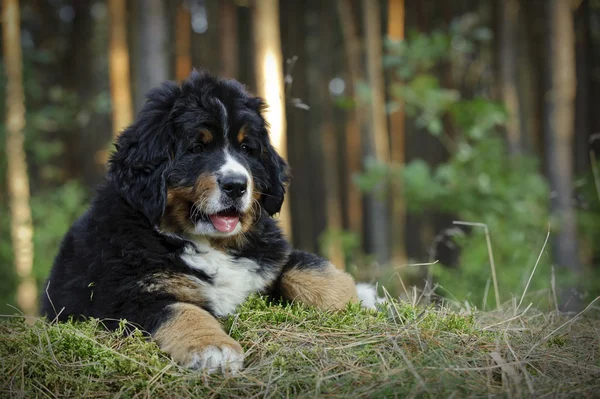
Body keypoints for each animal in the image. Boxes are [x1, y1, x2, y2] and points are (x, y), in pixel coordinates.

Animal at [42, 71, 360, 376]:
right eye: (196, 147)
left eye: (247, 148)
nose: (236, 185)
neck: (210, 244)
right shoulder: (128, 296)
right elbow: (183, 311)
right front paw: (213, 349)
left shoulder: (270, 256)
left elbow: (311, 271)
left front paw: (360, 298)